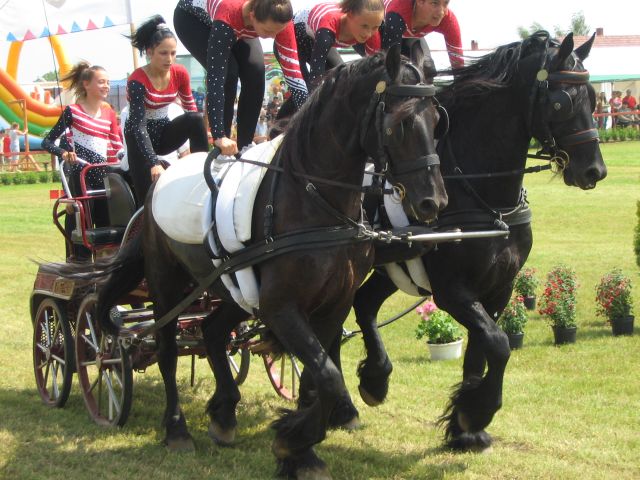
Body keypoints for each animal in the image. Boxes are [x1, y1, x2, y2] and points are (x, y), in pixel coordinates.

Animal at [53, 45, 448, 479]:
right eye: (402, 123)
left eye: (436, 120)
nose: (433, 202)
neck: (313, 203)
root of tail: (156, 182)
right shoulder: (281, 306)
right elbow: (327, 375)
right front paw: (292, 441)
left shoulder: (333, 303)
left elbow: (317, 376)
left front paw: (301, 449)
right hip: (166, 284)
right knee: (168, 351)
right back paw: (177, 429)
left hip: (230, 290)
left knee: (211, 331)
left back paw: (224, 414)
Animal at [342, 31, 607, 452]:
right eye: (561, 102)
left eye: (594, 98)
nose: (594, 170)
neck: (480, 195)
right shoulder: (452, 291)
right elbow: (498, 344)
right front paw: (477, 410)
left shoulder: (499, 288)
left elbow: (481, 350)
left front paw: (465, 427)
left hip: (389, 271)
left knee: (363, 304)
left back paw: (374, 380)